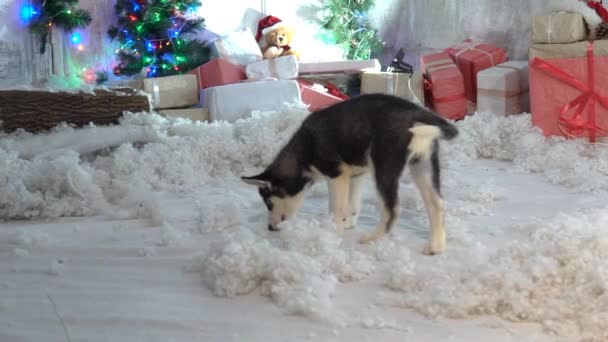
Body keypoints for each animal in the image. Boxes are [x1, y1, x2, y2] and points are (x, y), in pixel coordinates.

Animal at [242, 93, 456, 254]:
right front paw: (347, 224)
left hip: (384, 168)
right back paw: (436, 247)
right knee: (437, 204)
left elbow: (336, 208)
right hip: (423, 165)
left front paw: (331, 232)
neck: (303, 151)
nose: (270, 228)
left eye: (269, 204)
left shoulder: (336, 175)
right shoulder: (355, 175)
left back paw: (371, 238)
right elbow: (351, 205)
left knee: (392, 210)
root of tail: (415, 110)